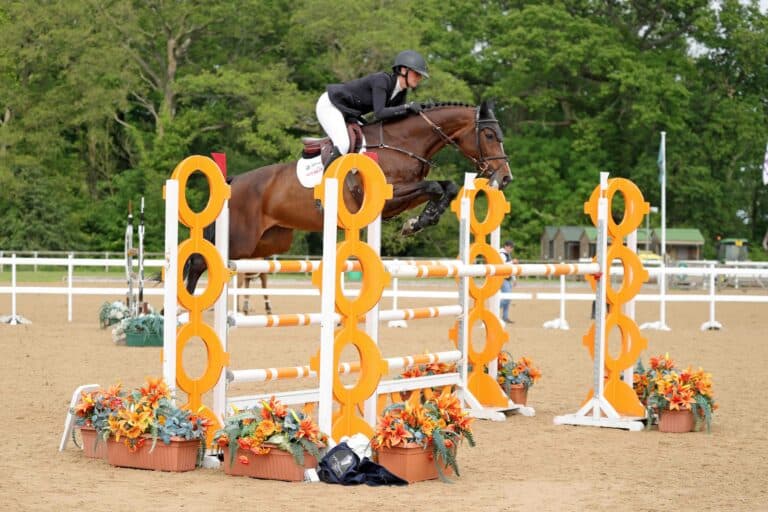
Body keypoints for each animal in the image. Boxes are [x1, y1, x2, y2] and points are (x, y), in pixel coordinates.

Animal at [185, 100, 512, 297]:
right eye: (490, 136)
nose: (505, 177)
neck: (402, 143)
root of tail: (234, 181)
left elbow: (447, 186)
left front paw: (420, 220)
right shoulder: (389, 199)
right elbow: (433, 186)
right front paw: (417, 222)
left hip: (268, 243)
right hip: (241, 237)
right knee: (200, 261)